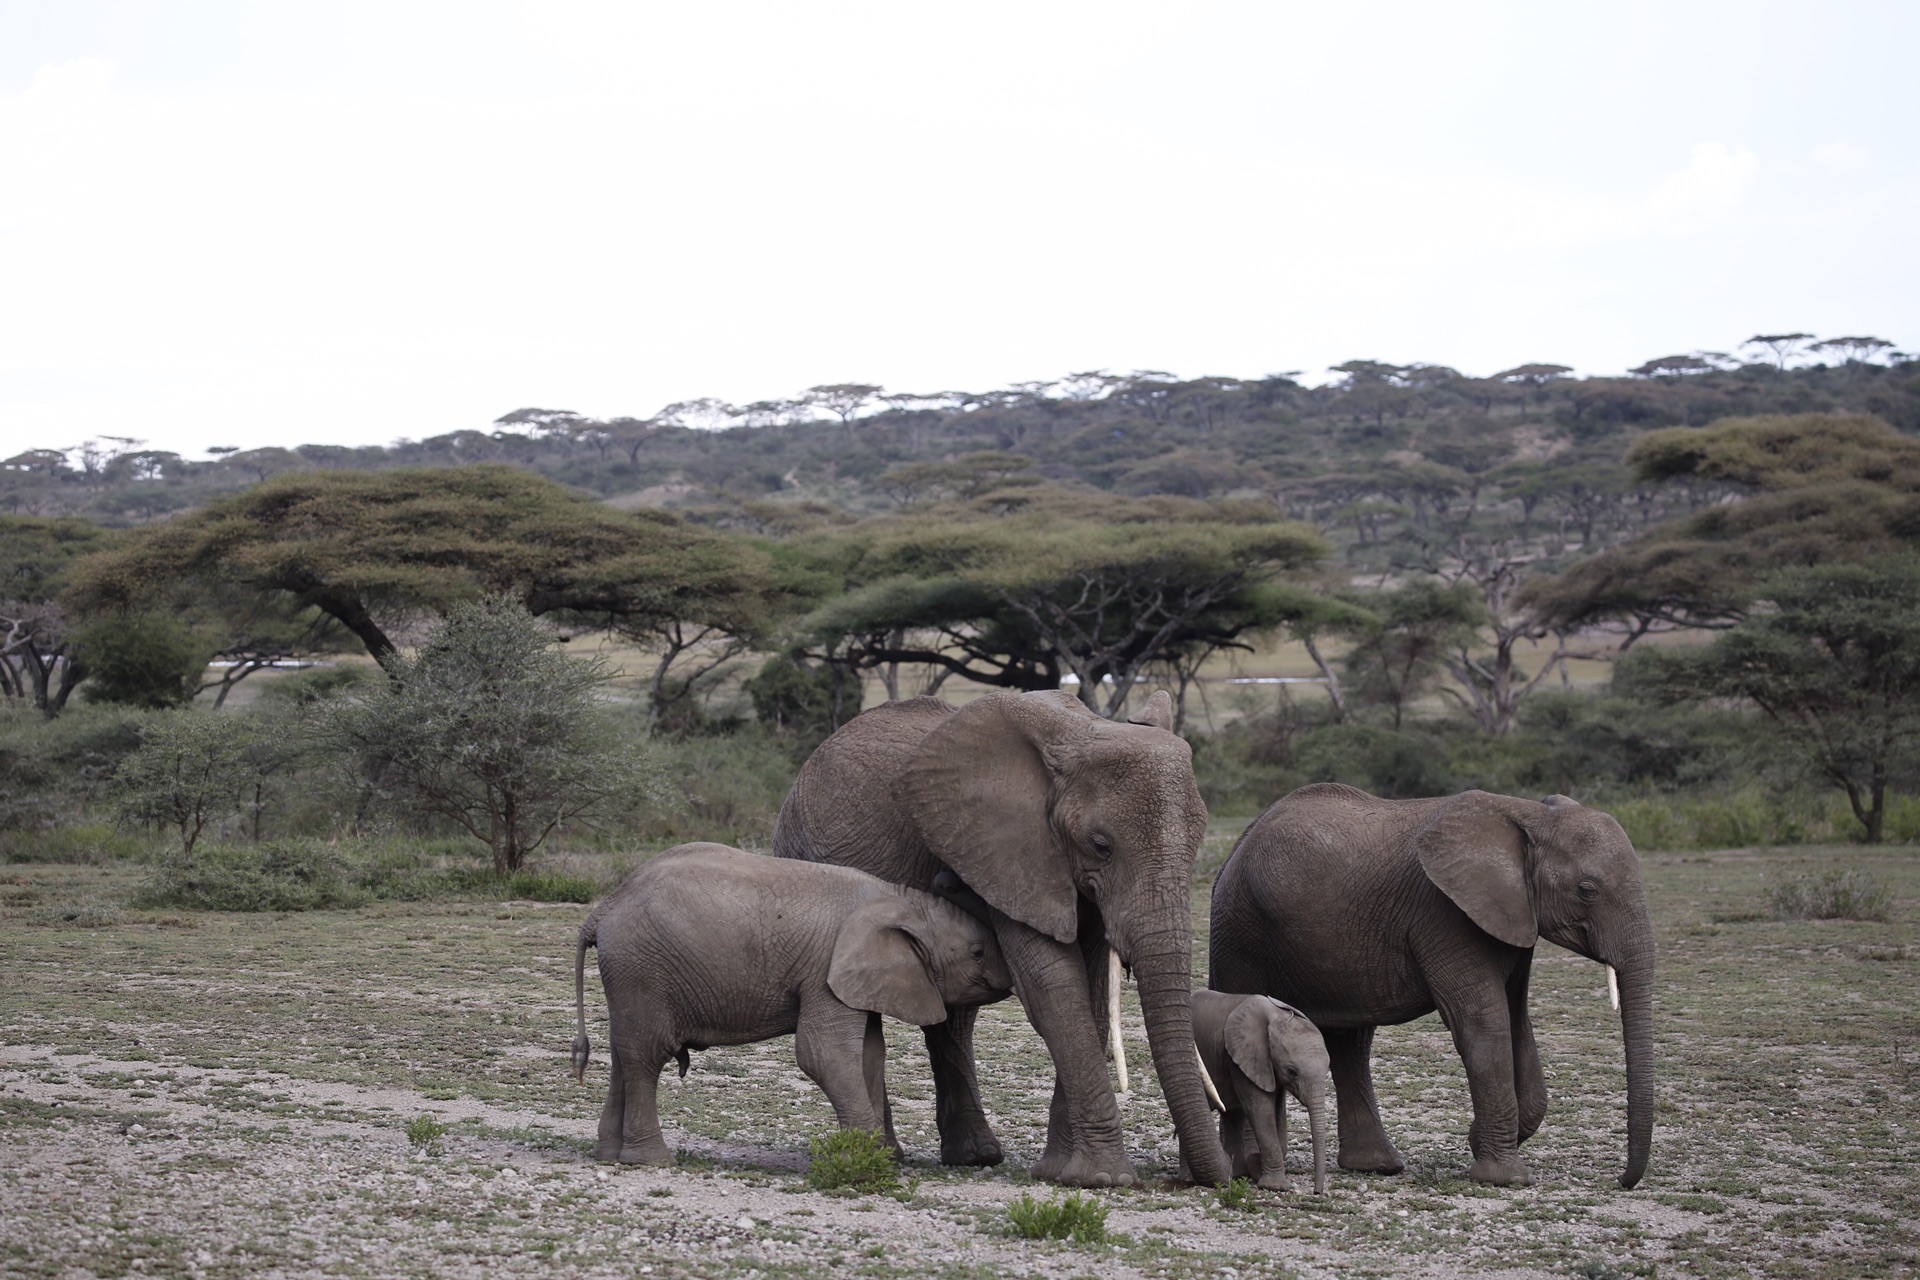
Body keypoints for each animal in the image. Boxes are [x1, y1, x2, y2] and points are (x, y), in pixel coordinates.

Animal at [568, 844, 1013, 1166]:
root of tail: (602, 909)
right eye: (976, 953)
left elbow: (870, 1055)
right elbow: (824, 1055)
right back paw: (651, 1161)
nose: (1010, 980)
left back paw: (608, 1155)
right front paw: (865, 1159)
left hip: (630, 974)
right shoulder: (824, 971)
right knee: (647, 1053)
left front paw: (880, 1156)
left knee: (623, 1051)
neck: (903, 900)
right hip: (642, 968)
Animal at [768, 690, 1228, 1189]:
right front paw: (1103, 1179)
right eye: (1101, 845)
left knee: (954, 1017)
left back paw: (974, 1156)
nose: (1202, 1177)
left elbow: (1087, 990)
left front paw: (1057, 1172)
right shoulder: (1007, 852)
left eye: (1198, 839)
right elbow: (1053, 985)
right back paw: (891, 1157)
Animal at [1190, 990, 1328, 1189]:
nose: (1317, 1192)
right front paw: (1275, 1186)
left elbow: (1278, 1110)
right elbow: (1260, 1109)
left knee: (1233, 1114)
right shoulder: (1242, 1058)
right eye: (1292, 1071)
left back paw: (1236, 1173)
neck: (1277, 1016)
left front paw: (1257, 1168)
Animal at [1213, 782, 1651, 1189]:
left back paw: (1376, 1166)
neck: (1530, 816)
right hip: (1239, 928)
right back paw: (1249, 1168)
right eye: (1587, 891)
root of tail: (1238, 844)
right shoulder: (1445, 915)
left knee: (1350, 1042)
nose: (1622, 1181)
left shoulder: (1513, 916)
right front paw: (1503, 1177)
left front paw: (1480, 1143)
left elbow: (1517, 1022)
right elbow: (1484, 1025)